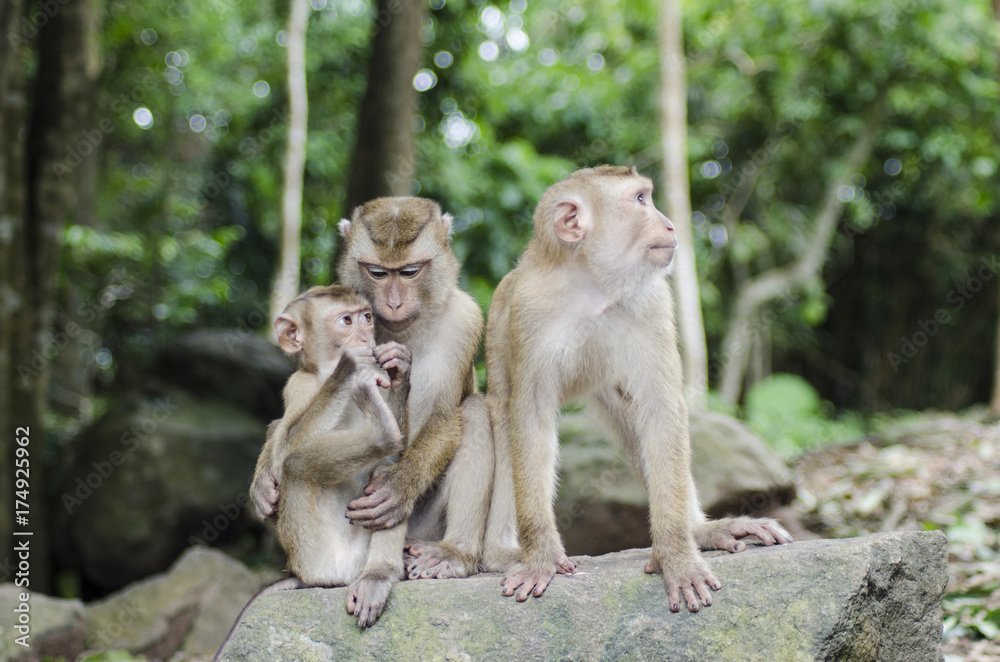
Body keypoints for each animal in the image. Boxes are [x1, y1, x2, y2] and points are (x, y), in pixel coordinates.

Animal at [251, 197, 494, 583]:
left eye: (409, 272)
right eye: (378, 273)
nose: (393, 303)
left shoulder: (466, 319)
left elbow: (444, 416)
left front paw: (397, 489)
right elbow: (283, 428)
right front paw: (261, 484)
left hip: (423, 529)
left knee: (472, 410)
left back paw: (454, 554)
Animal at [483, 165, 792, 613]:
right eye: (641, 200)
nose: (670, 224)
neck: (591, 285)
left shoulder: (654, 301)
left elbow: (660, 409)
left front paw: (676, 553)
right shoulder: (529, 311)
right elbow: (530, 417)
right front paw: (540, 557)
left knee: (634, 421)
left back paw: (701, 530)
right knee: (504, 420)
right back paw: (500, 552)